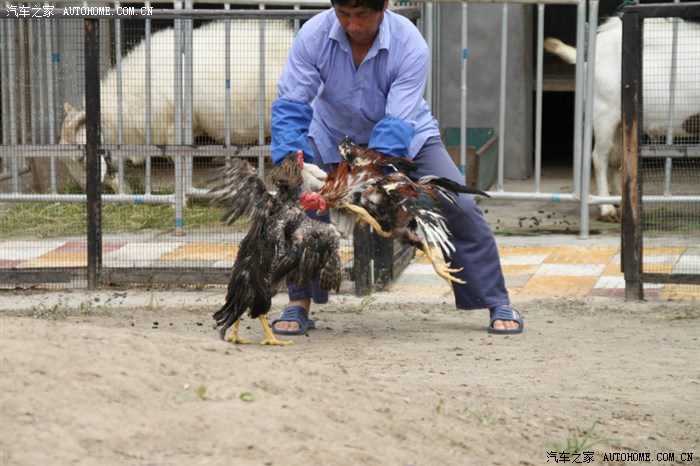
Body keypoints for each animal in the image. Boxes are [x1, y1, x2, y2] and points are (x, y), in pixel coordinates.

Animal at [548, 15, 700, 223]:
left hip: (622, 124)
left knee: (616, 159)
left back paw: (619, 202)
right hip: (604, 112)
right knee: (599, 157)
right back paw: (607, 210)